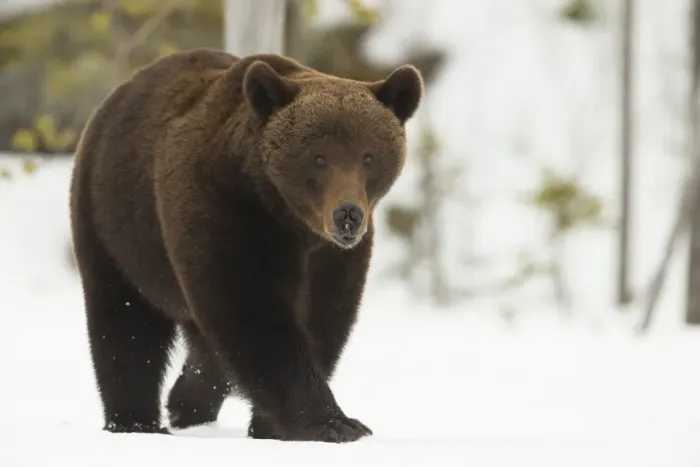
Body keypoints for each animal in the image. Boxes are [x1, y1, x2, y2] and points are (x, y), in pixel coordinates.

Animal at [69, 47, 423, 443]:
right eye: (319, 156)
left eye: (368, 156)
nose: (348, 214)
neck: (288, 219)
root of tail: (119, 95)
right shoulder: (225, 214)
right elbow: (253, 314)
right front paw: (333, 423)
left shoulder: (331, 256)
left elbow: (323, 317)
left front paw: (272, 425)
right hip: (116, 224)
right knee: (125, 322)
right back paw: (136, 421)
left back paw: (185, 402)